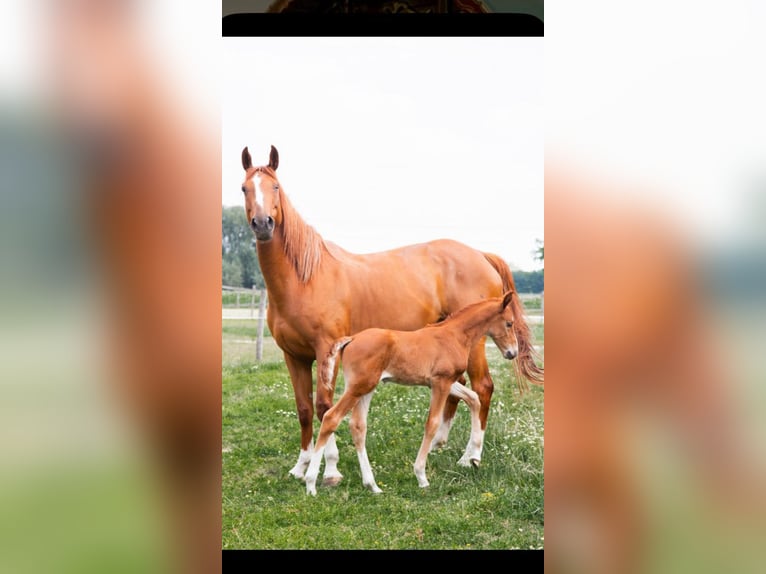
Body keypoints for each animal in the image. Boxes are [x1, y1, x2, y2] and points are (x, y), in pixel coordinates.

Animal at [305, 292, 519, 495]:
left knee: (357, 426)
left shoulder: (443, 382)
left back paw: (372, 485)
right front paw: (421, 476)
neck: (454, 335)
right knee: (331, 418)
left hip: (365, 389)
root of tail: (352, 338)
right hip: (359, 387)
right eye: (509, 323)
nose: (513, 353)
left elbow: (473, 399)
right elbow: (432, 423)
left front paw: (473, 457)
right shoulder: (441, 382)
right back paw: (311, 483)